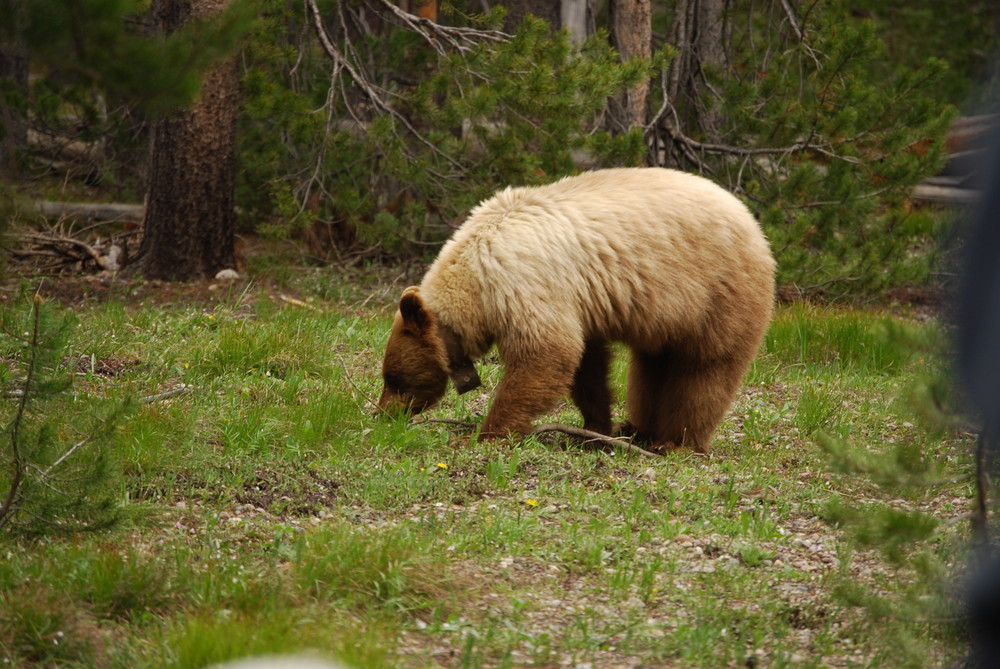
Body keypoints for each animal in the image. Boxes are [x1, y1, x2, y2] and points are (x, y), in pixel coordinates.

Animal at [378, 166, 776, 454]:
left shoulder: (523, 282)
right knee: (652, 367)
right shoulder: (578, 302)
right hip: (668, 317)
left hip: (719, 293)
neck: (474, 278)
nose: (383, 413)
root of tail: (753, 221)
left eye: (393, 379)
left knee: (707, 368)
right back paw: (639, 429)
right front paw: (595, 427)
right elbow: (586, 363)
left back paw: (676, 441)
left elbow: (547, 353)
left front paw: (487, 433)